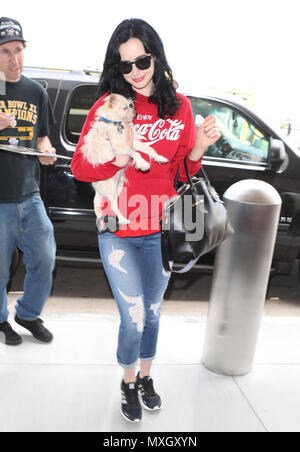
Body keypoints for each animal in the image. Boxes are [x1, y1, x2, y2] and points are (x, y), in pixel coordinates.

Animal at [81, 93, 168, 224]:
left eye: (131, 105)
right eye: (125, 107)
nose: (135, 111)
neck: (115, 123)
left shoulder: (132, 143)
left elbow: (148, 148)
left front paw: (159, 158)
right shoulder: (120, 147)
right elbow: (136, 153)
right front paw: (143, 164)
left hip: (117, 186)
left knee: (97, 202)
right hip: (111, 189)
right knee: (112, 205)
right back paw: (123, 220)